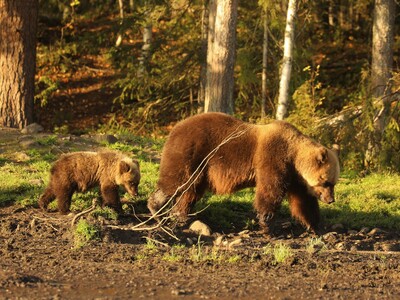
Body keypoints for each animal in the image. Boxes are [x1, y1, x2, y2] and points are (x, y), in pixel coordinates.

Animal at [148, 112, 340, 234]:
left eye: (333, 182)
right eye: (326, 182)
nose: (331, 199)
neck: (293, 156)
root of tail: (174, 128)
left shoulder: (295, 178)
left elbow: (303, 202)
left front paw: (315, 226)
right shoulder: (273, 159)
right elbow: (270, 191)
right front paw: (267, 224)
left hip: (201, 169)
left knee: (190, 191)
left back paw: (180, 215)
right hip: (191, 153)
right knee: (176, 181)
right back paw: (156, 207)